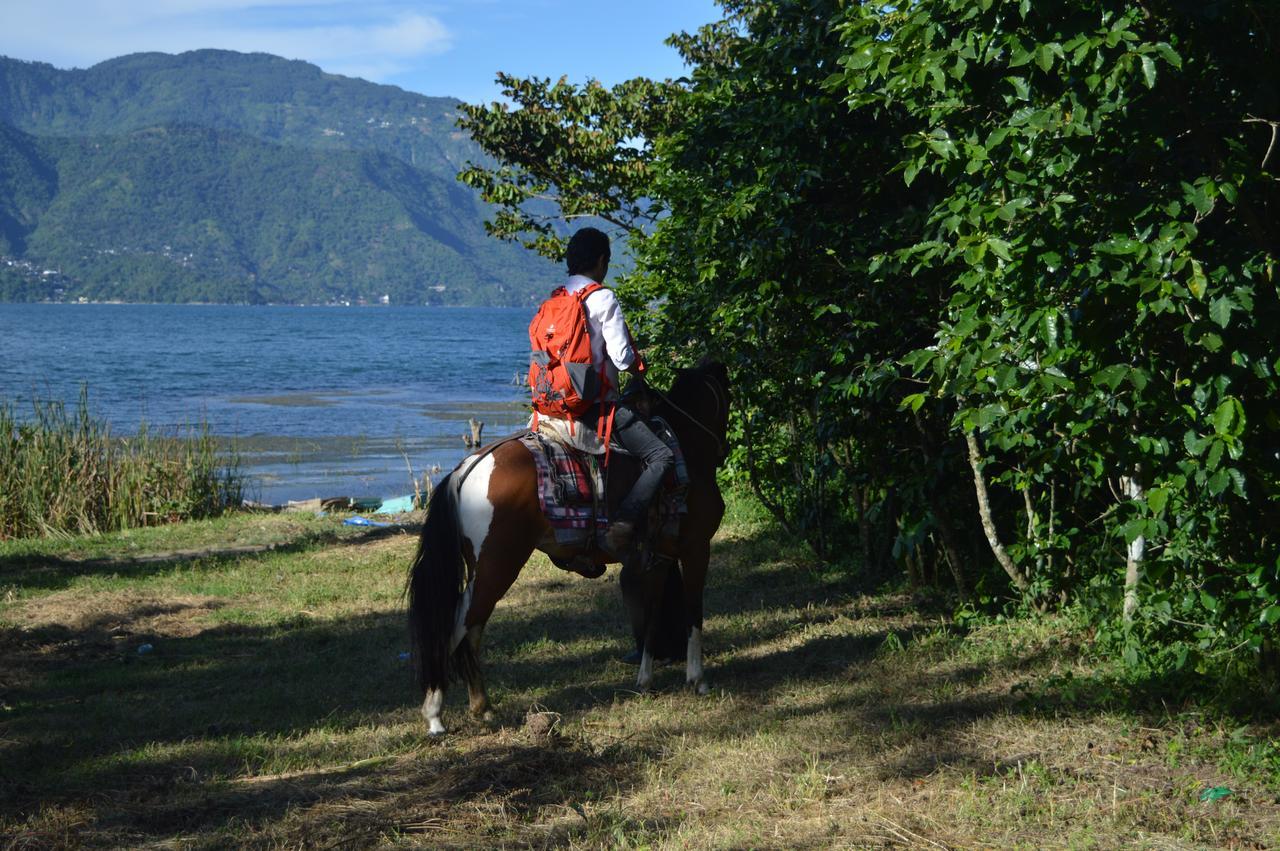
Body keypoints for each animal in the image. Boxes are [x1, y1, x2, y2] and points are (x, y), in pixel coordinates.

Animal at [409, 358, 732, 731]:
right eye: (729, 397)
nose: (723, 449)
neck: (687, 447)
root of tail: (468, 469)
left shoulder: (659, 559)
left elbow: (651, 618)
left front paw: (645, 680)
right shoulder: (697, 549)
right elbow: (694, 612)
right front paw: (698, 680)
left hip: (483, 570)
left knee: (471, 629)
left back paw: (482, 706)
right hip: (497, 566)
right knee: (457, 627)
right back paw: (435, 716)